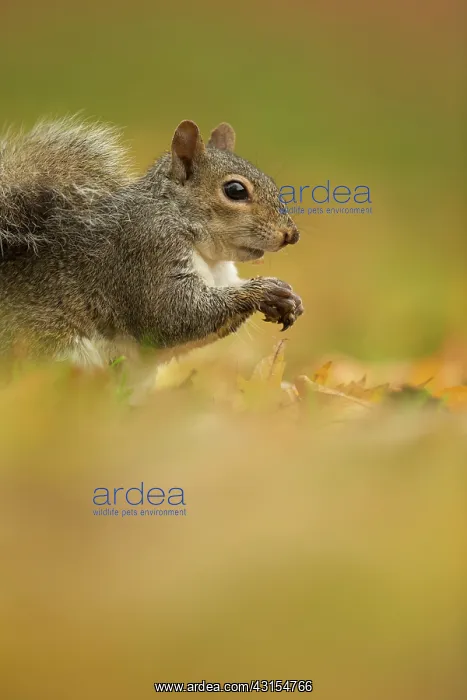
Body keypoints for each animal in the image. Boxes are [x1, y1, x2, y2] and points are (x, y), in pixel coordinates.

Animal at [0, 117, 303, 367]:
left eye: (272, 181)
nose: (292, 235)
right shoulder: (145, 250)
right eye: (235, 190)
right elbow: (171, 315)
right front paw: (264, 291)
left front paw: (289, 300)